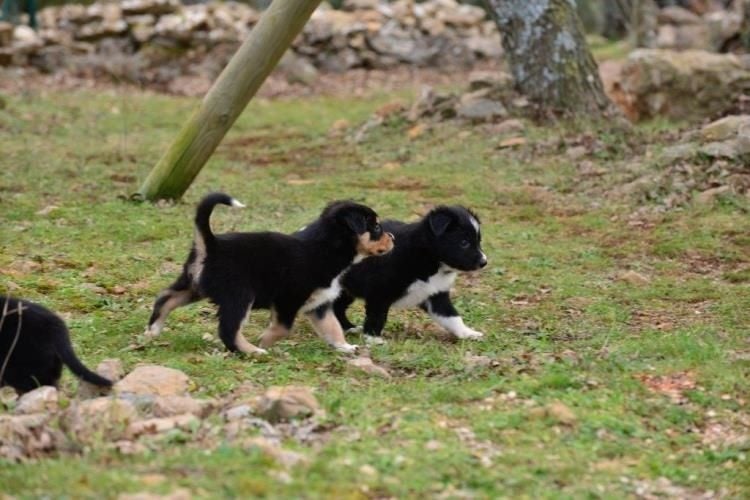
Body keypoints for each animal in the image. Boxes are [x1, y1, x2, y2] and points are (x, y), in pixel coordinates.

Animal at [144, 192, 396, 356]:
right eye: (376, 227)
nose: (392, 238)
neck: (325, 248)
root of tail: (211, 243)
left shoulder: (320, 305)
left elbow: (332, 328)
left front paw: (345, 347)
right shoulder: (288, 300)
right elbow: (284, 328)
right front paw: (264, 342)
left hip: (193, 285)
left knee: (165, 298)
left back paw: (152, 331)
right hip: (239, 296)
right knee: (228, 330)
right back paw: (252, 351)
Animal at [334, 204, 488, 344]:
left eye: (479, 241)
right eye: (464, 243)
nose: (484, 262)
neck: (429, 258)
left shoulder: (436, 294)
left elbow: (452, 317)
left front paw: (468, 333)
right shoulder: (379, 291)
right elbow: (377, 316)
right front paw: (373, 338)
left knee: (338, 308)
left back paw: (349, 328)